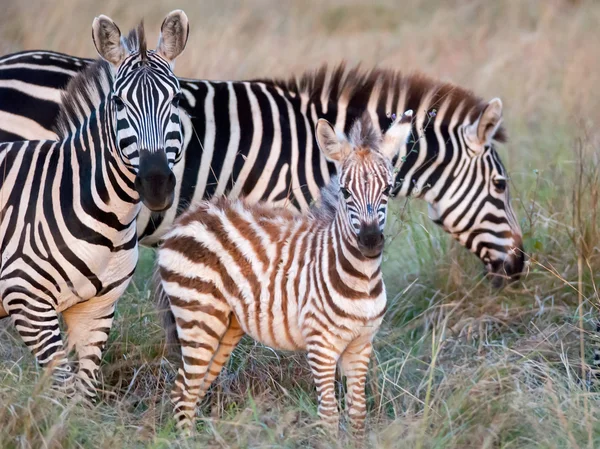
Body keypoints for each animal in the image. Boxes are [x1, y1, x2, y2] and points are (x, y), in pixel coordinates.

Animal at [0, 9, 189, 396]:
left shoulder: (96, 310)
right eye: (118, 103)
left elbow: (82, 392)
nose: (156, 184)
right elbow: (59, 391)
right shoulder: (25, 300)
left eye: (177, 100)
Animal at [157, 109, 414, 434]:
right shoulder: (320, 345)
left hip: (225, 325)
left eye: (388, 190)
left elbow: (357, 415)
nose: (370, 242)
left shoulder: (361, 345)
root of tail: (188, 217)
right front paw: (329, 437)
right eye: (345, 191)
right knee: (183, 390)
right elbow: (329, 414)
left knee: (194, 388)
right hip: (198, 315)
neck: (362, 279)